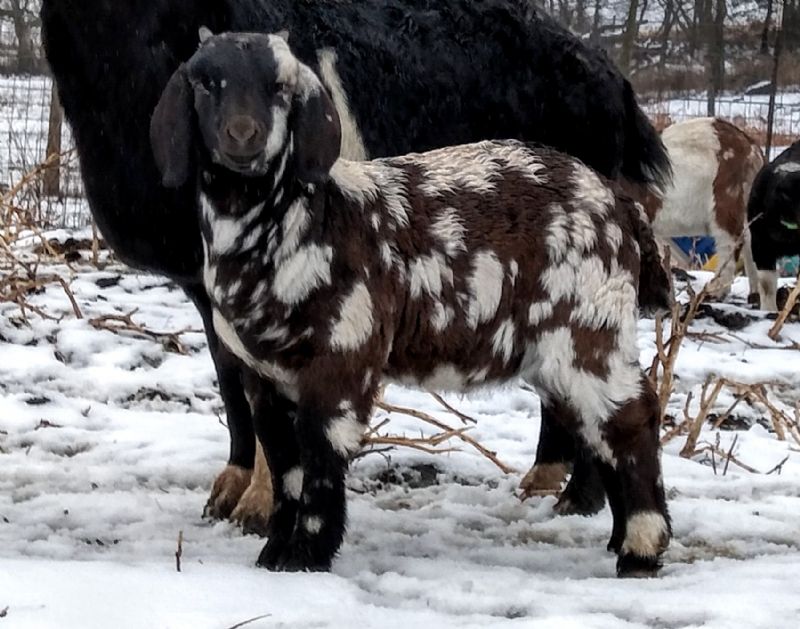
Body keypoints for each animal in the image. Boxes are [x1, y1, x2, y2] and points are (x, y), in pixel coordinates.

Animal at [39, 0, 668, 528]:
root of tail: (612, 79)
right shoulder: (204, 280)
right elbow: (230, 379)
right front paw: (228, 493)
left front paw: (260, 506)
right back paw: (543, 485)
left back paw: (574, 499)